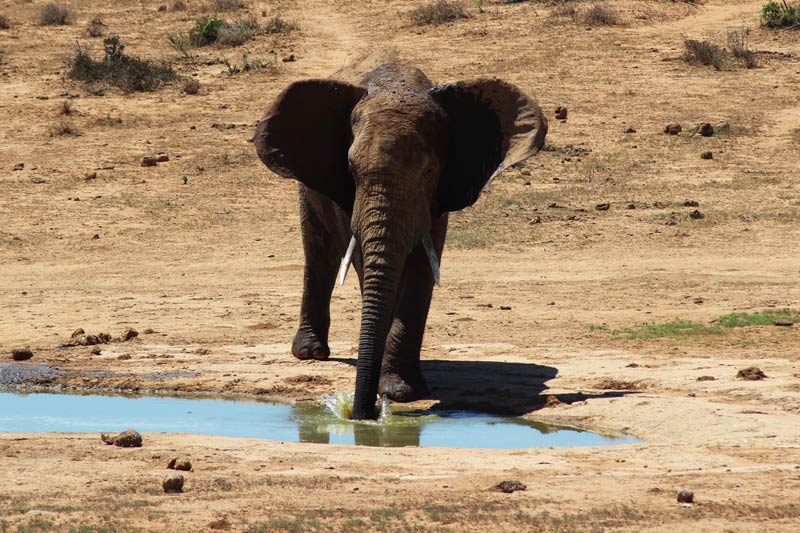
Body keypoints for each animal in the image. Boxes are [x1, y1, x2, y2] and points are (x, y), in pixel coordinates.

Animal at [253, 62, 548, 420]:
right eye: (351, 169)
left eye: (429, 170)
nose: (363, 413)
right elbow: (363, 261)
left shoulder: (437, 196)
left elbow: (421, 269)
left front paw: (399, 391)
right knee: (318, 252)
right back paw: (311, 353)